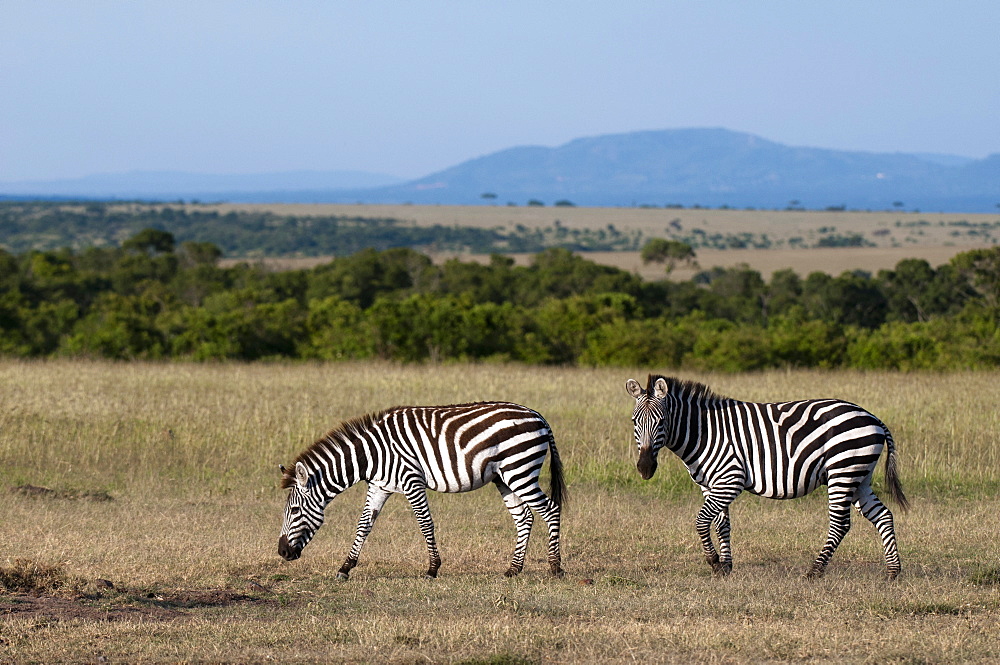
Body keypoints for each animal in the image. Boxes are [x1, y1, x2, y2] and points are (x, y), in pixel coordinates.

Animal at [278, 402, 568, 580]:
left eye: (295, 510)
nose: (282, 553)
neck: (373, 455)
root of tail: (537, 415)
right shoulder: (379, 486)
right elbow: (363, 526)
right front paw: (345, 568)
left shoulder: (411, 480)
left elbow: (425, 523)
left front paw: (432, 569)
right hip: (505, 477)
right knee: (525, 517)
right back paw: (513, 569)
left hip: (520, 470)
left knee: (550, 509)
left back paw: (555, 567)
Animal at [628, 376, 912, 580]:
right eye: (634, 421)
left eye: (661, 421)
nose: (645, 468)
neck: (703, 433)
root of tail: (872, 417)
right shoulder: (710, 485)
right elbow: (721, 524)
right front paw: (725, 567)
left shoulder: (730, 480)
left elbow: (701, 521)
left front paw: (713, 562)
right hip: (858, 476)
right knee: (883, 515)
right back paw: (892, 572)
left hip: (843, 471)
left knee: (840, 524)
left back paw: (815, 571)